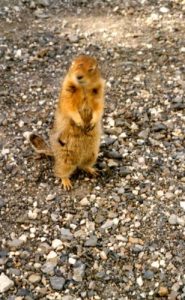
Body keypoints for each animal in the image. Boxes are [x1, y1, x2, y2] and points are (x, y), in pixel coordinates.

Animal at [28, 54, 105, 190]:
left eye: (91, 69)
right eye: (74, 65)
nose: (79, 76)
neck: (83, 87)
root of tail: (54, 153)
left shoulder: (99, 92)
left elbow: (98, 108)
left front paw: (92, 123)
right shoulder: (67, 90)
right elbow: (70, 107)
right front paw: (80, 122)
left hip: (92, 154)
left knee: (83, 166)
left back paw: (92, 170)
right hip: (65, 159)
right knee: (60, 171)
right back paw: (66, 183)